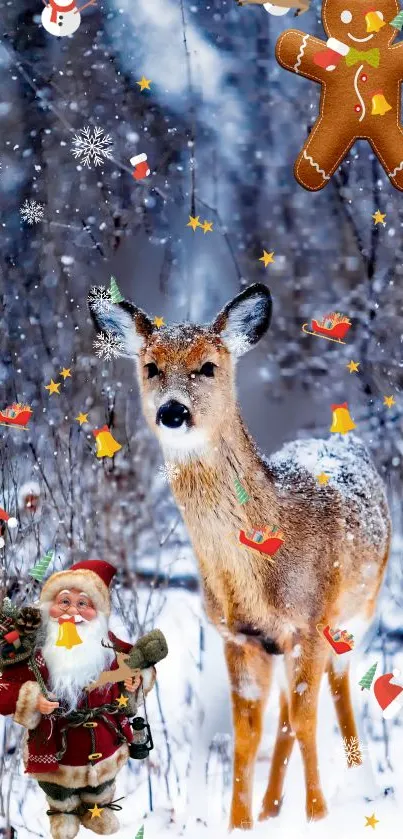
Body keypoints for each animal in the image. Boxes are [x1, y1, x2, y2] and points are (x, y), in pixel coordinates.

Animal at [90, 286, 392, 832]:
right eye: (151, 367)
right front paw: (240, 824)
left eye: (208, 366)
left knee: (335, 689)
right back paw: (272, 806)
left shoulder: (310, 621)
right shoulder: (239, 637)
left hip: (360, 610)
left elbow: (308, 719)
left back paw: (361, 785)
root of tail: (342, 438)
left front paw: (317, 817)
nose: (172, 411)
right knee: (287, 715)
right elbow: (248, 733)